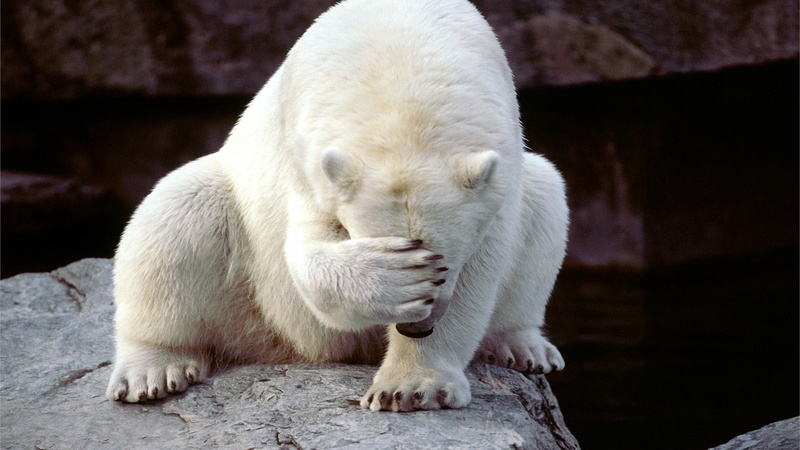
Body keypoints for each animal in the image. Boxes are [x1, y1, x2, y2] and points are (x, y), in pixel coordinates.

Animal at [105, 0, 569, 412]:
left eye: (444, 263)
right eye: (419, 259)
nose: (416, 327)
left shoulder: (500, 166)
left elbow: (483, 267)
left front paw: (412, 388)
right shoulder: (307, 154)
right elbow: (307, 253)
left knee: (546, 194)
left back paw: (522, 345)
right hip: (247, 291)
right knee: (177, 211)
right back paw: (152, 370)